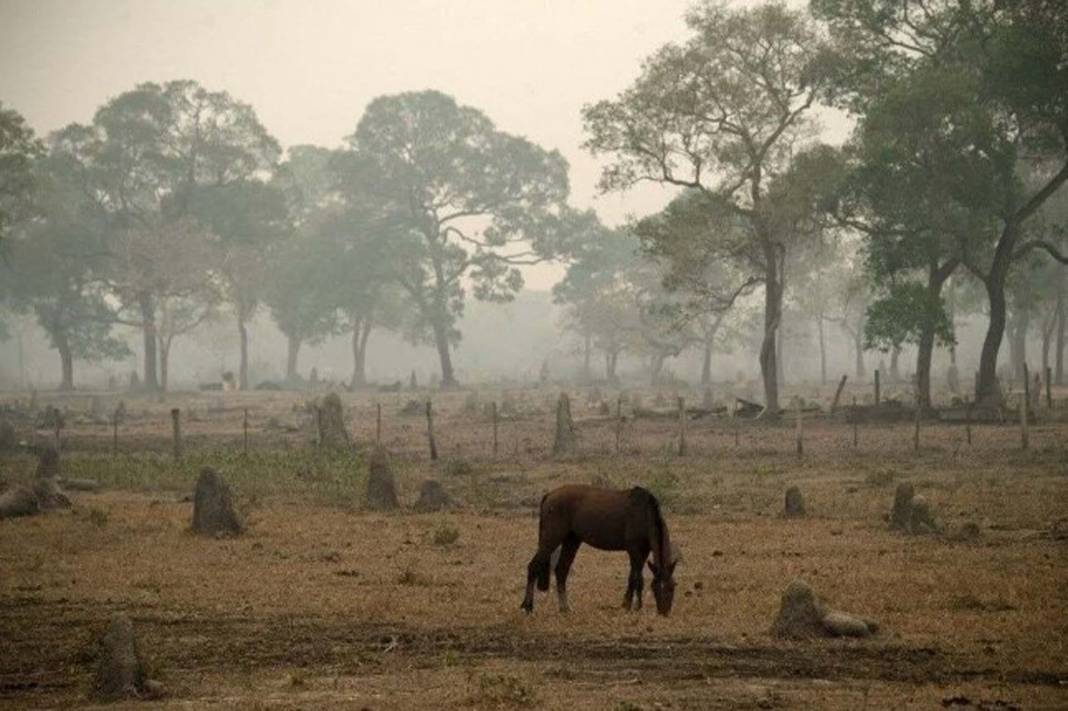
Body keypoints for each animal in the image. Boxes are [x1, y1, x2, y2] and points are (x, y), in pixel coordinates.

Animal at [521, 482, 679, 614]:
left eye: (672, 586)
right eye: (655, 587)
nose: (664, 612)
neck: (643, 513)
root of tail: (549, 495)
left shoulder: (643, 552)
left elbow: (633, 577)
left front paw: (630, 604)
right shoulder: (634, 551)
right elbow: (636, 578)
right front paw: (633, 606)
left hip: (571, 541)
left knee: (561, 571)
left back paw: (565, 607)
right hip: (551, 539)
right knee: (533, 567)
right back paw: (527, 606)